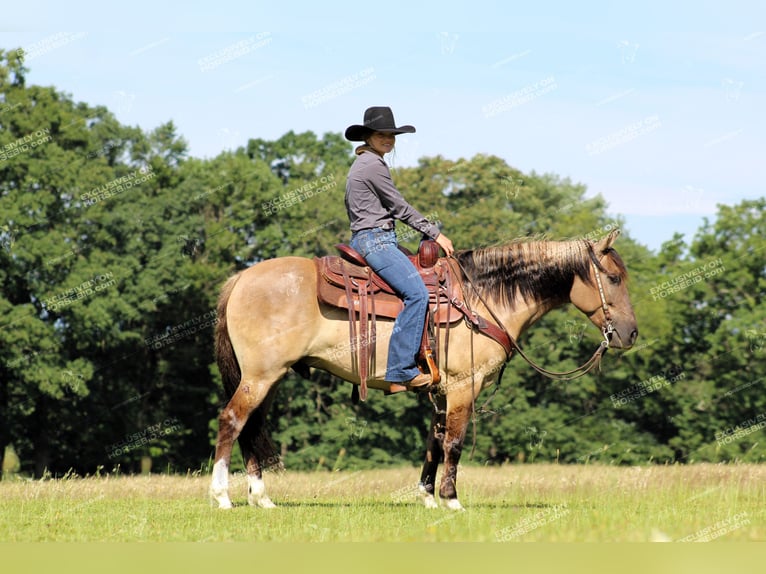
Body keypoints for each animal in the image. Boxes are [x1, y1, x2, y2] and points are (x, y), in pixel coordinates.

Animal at [208, 230, 636, 512]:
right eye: (613, 278)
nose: (630, 334)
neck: (482, 296)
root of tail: (241, 278)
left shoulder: (442, 391)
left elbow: (434, 440)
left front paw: (428, 497)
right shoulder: (464, 386)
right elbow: (454, 443)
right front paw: (452, 500)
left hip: (270, 379)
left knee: (252, 427)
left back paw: (262, 498)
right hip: (259, 377)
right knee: (231, 421)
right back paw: (222, 496)